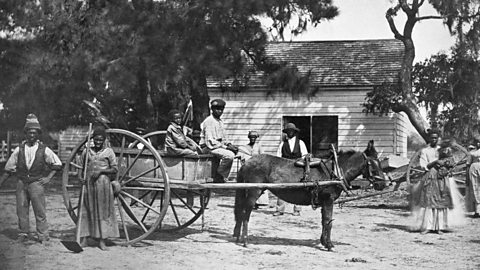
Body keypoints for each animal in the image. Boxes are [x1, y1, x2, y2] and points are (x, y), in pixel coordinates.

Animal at [232, 141, 386, 251]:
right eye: (373, 163)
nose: (383, 184)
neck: (336, 171)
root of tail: (247, 162)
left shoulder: (324, 202)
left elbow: (324, 221)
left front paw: (323, 242)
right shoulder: (329, 200)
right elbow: (328, 222)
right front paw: (329, 245)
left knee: (240, 213)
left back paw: (238, 237)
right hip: (253, 192)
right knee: (245, 213)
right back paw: (245, 240)